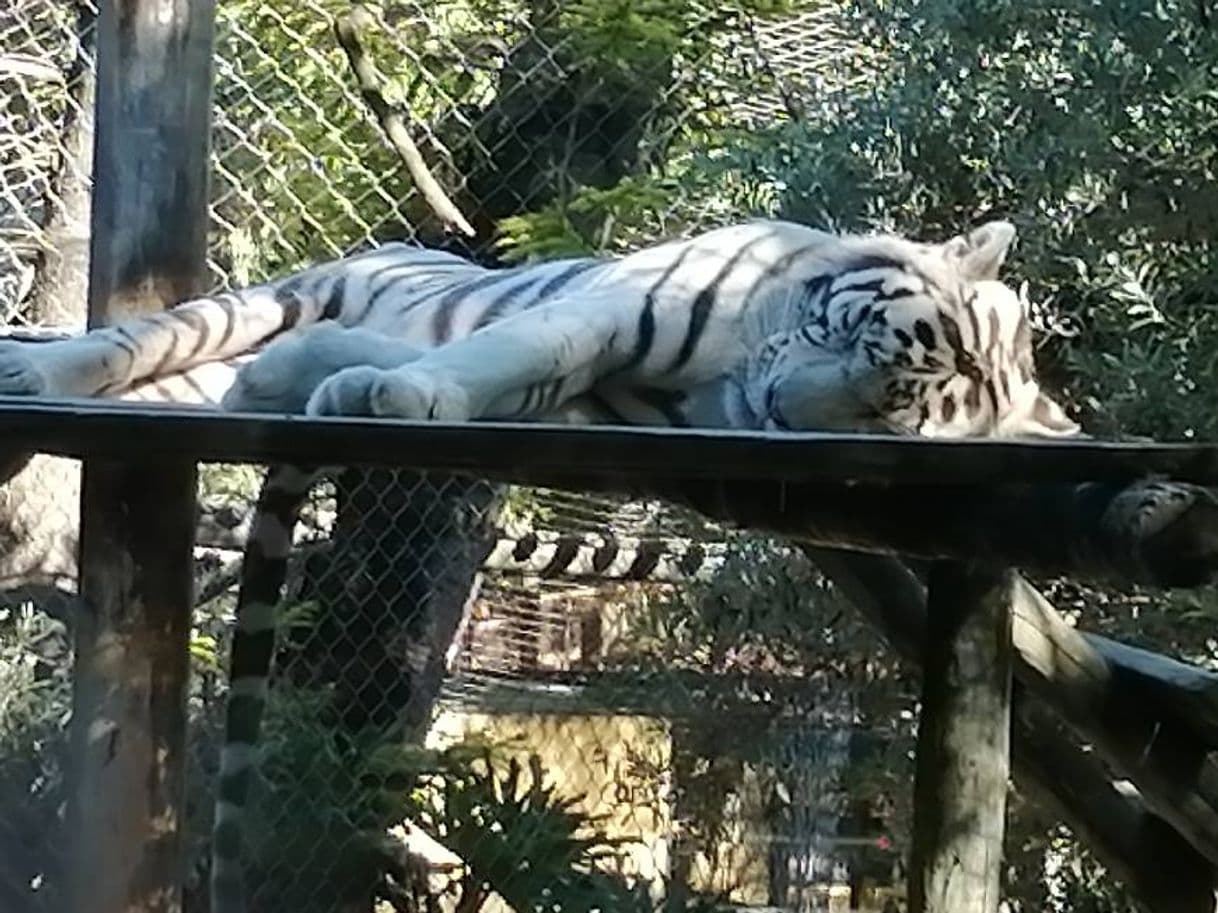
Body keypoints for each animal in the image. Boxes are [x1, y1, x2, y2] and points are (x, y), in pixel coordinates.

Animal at [0, 216, 1081, 913]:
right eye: (879, 360)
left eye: (889, 418)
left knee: (193, 381)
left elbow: (481, 376)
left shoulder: (581, 409)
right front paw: (397, 388)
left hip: (207, 380)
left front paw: (365, 383)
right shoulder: (609, 315)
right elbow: (504, 347)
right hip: (260, 301)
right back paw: (38, 369)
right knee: (132, 344)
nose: (779, 409)